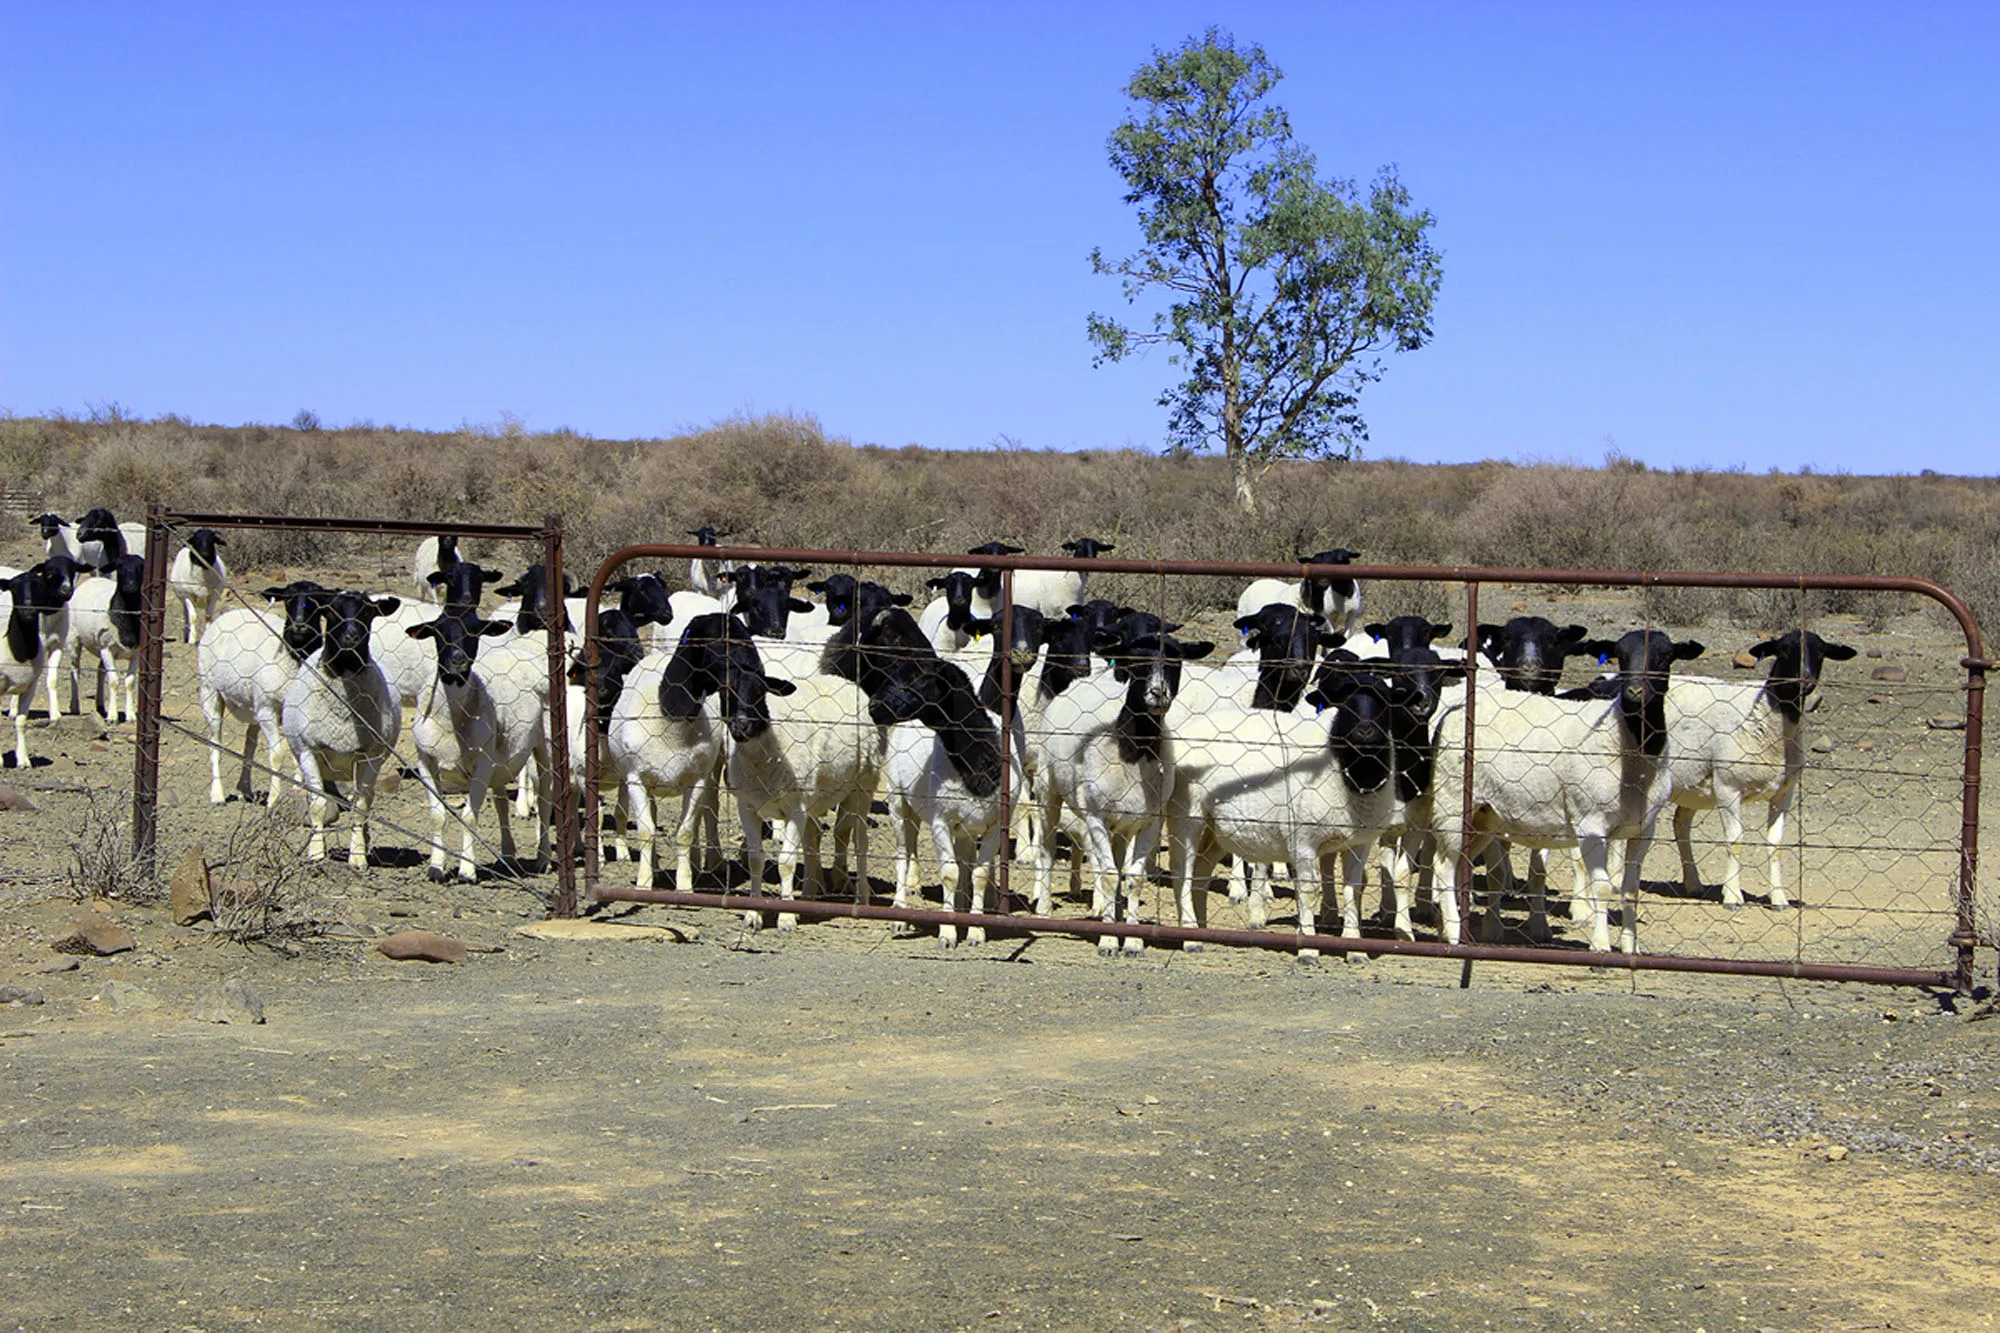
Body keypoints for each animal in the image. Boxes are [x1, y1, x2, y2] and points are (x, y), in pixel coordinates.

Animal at [0, 564, 78, 767]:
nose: (28, 611)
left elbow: (21, 722)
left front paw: (23, 760)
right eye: (13, 588)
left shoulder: (30, 686)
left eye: (40, 586)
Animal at [197, 582, 326, 806]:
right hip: (210, 691)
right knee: (215, 744)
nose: (299, 625)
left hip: (253, 705)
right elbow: (276, 755)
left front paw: (301, 789)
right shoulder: (268, 709)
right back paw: (217, 794)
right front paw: (274, 798)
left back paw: (245, 788)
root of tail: (227, 615)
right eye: (288, 599)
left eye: (316, 601)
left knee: (249, 744)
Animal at [282, 591, 404, 866]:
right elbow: (317, 804)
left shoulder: (371, 756)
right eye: (330, 611)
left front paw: (357, 857)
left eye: (368, 612)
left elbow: (361, 807)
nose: (352, 636)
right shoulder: (308, 750)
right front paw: (316, 853)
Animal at [1414, 629, 1705, 953]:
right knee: (1443, 866)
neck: (1630, 743)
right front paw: (1601, 945)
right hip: (1453, 803)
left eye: (1665, 656)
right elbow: (1602, 887)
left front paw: (1631, 948)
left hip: (1483, 817)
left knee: (1456, 865)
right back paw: (1453, 934)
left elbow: (1630, 889)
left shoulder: (1644, 829)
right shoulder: (1591, 823)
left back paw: (1447, 930)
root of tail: (1452, 714)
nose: (1634, 692)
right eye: (1620, 655)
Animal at [1662, 630, 1856, 910]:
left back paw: (1693, 884)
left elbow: (1775, 845)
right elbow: (1736, 842)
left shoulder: (1784, 792)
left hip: (1691, 785)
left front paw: (1779, 898)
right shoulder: (1727, 787)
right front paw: (1732, 896)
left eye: (1820, 653)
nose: (1805, 679)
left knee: (1680, 824)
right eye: (1784, 650)